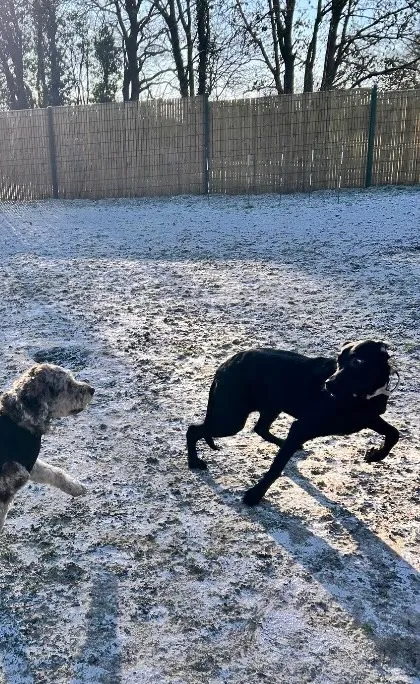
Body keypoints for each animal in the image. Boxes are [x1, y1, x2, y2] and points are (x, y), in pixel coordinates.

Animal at [0, 363, 94, 532]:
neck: (19, 420)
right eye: (67, 384)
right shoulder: (9, 481)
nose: (92, 389)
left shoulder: (28, 461)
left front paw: (76, 487)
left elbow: (55, 472)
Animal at [187, 340, 399, 506]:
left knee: (261, 428)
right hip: (232, 419)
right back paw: (194, 462)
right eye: (339, 361)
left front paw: (376, 455)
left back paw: (286, 444)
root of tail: (226, 363)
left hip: (270, 408)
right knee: (193, 430)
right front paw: (255, 495)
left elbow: (394, 434)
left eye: (357, 362)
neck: (361, 398)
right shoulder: (301, 427)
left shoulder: (367, 418)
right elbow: (276, 467)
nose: (328, 384)